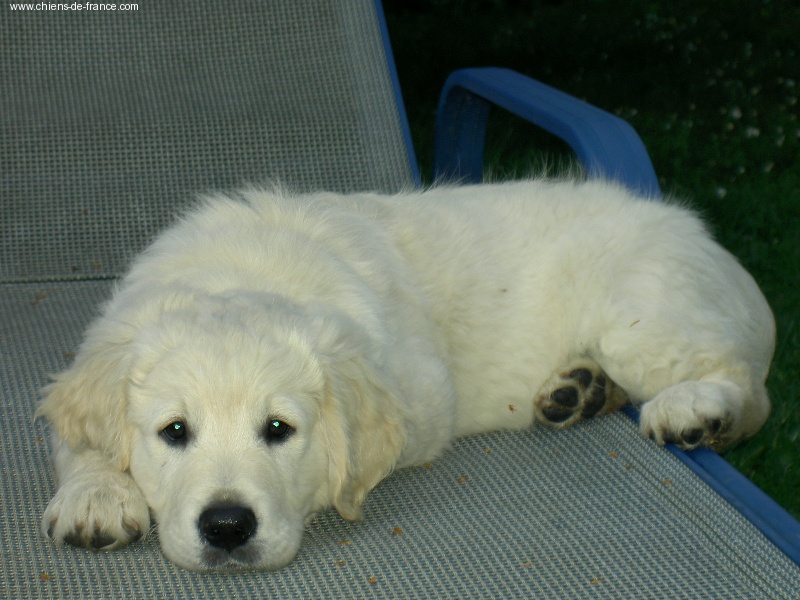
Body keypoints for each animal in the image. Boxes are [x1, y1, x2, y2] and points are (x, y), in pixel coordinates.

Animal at [37, 178, 775, 571]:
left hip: (643, 314)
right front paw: (96, 494)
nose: (227, 527)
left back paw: (695, 409)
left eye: (279, 429)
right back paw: (580, 391)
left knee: (745, 388)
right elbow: (79, 440)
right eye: (174, 431)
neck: (243, 271)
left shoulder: (423, 398)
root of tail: (704, 236)